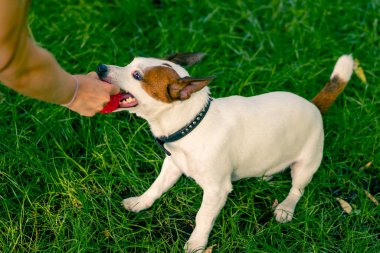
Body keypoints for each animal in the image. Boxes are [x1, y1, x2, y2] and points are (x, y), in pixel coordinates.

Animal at [95, 52, 354, 252]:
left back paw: (286, 207)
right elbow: (156, 187)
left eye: (137, 76)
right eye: (130, 62)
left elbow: (202, 217)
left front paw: (196, 243)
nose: (100, 67)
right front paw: (141, 202)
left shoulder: (216, 190)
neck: (192, 124)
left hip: (307, 164)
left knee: (297, 189)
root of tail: (314, 105)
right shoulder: (173, 165)